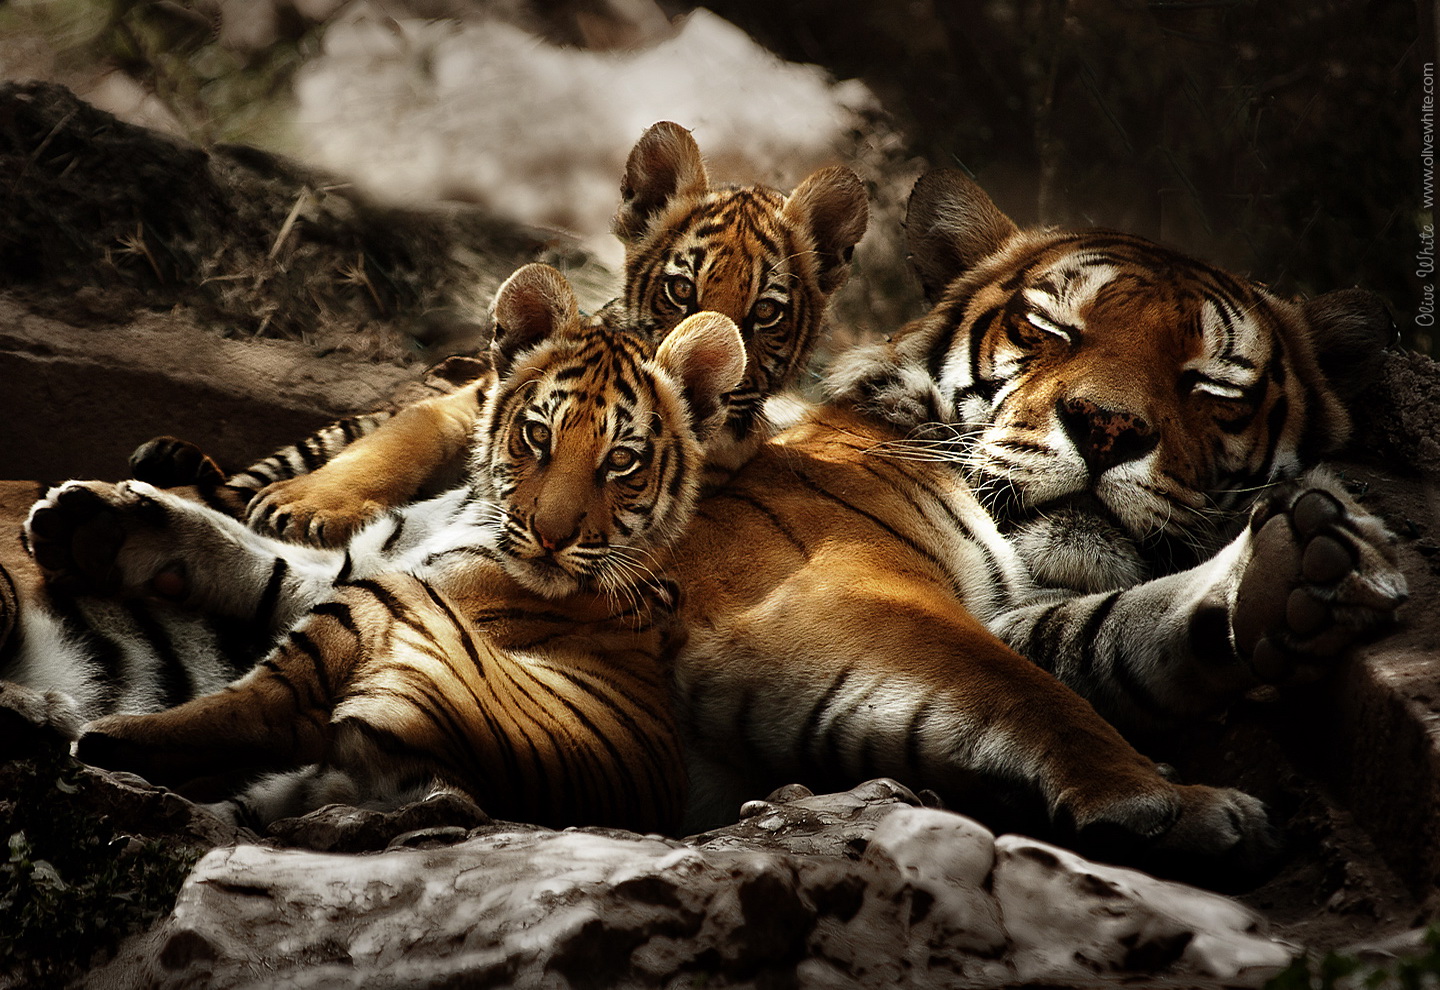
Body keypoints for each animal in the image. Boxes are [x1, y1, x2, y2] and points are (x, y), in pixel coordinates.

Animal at [6, 262, 747, 834]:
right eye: (538, 434)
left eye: (621, 460)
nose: (551, 535)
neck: (471, 506)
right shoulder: (363, 557)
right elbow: (251, 557)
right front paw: (95, 527)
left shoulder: (387, 577)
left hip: (384, 610)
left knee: (279, 710)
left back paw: (105, 738)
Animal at [138, 120, 868, 545]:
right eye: (680, 290)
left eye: (766, 313)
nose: (717, 365)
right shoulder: (467, 402)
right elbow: (398, 444)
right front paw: (311, 505)